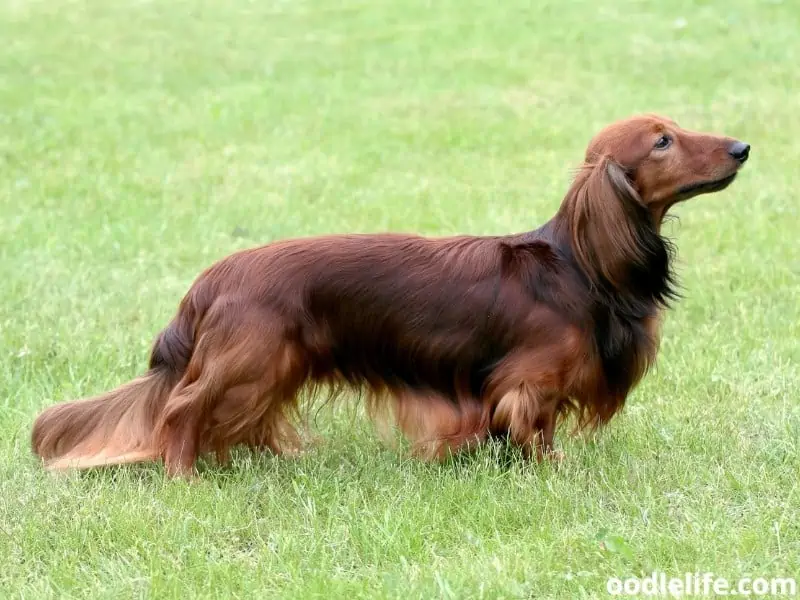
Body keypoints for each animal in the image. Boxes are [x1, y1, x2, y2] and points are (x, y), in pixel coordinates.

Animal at [31, 115, 752, 476]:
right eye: (662, 141)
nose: (743, 147)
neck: (580, 266)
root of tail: (208, 281)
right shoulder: (530, 380)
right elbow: (536, 425)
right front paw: (549, 471)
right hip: (248, 360)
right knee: (181, 410)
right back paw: (184, 472)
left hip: (273, 365)